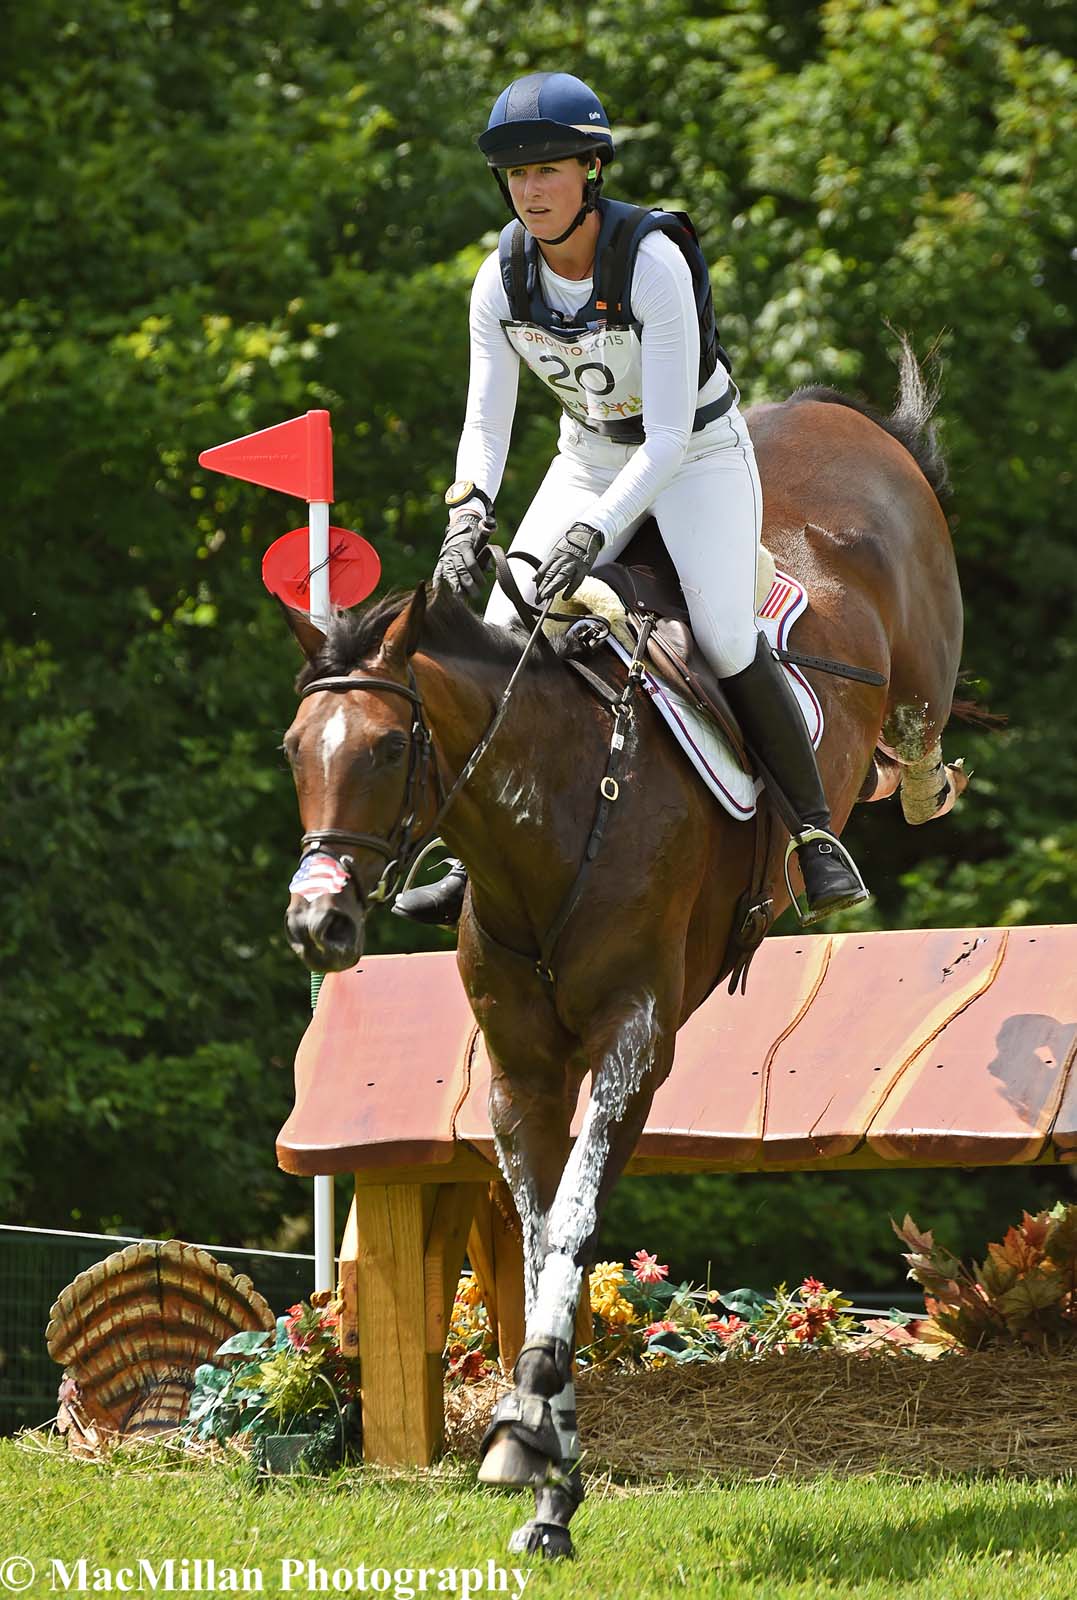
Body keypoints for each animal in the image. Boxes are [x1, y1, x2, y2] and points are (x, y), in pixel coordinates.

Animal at [281, 347, 960, 1548]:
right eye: (293, 749)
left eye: (392, 748)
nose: (321, 923)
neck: (548, 824)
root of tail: (829, 413)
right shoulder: (520, 1071)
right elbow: (544, 1225)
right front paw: (547, 1468)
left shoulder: (635, 1044)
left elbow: (575, 1222)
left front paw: (527, 1437)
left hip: (918, 637)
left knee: (917, 724)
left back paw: (898, 799)